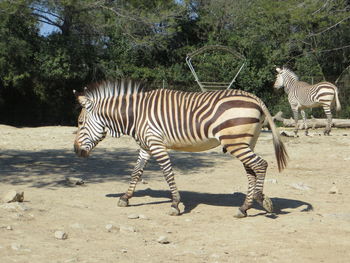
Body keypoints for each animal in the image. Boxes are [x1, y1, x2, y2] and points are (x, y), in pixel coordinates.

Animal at [73, 80, 288, 219]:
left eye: (80, 123)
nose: (75, 151)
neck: (135, 114)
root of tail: (255, 98)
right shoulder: (145, 146)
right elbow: (136, 172)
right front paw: (125, 198)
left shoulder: (156, 144)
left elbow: (168, 173)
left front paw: (175, 204)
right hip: (245, 142)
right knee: (251, 171)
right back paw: (245, 208)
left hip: (235, 142)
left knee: (261, 164)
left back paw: (260, 199)